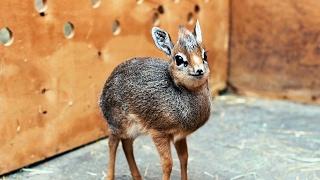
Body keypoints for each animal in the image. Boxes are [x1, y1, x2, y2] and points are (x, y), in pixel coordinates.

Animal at [99, 20, 211, 179]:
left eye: (205, 55)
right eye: (179, 59)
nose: (199, 70)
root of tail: (104, 91)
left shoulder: (179, 136)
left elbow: (184, 158)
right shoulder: (159, 133)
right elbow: (167, 164)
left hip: (133, 129)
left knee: (127, 145)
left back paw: (137, 176)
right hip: (118, 124)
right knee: (112, 143)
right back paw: (110, 176)